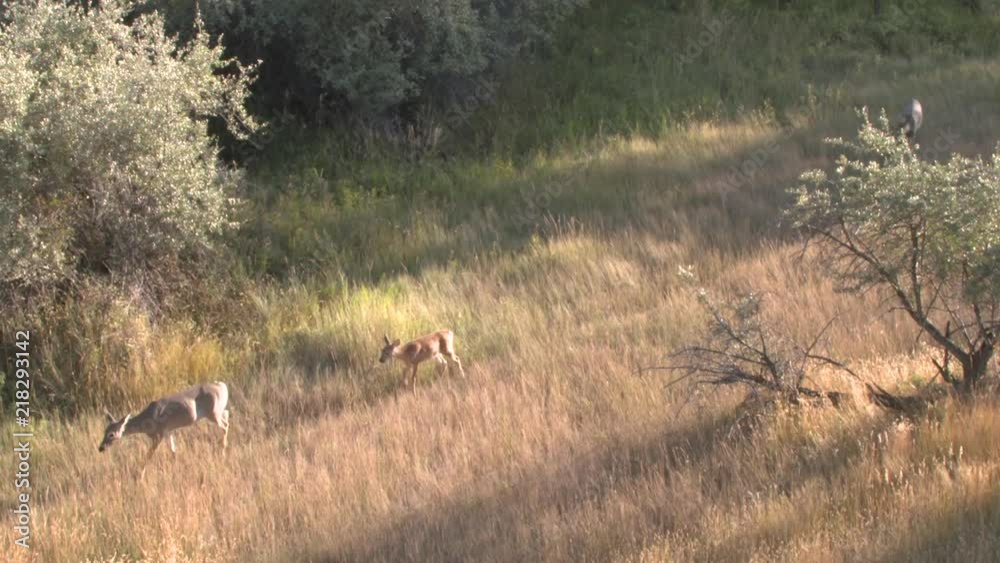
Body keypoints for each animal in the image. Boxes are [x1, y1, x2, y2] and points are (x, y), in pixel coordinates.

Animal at [98, 381, 230, 476]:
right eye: (105, 431)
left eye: (111, 434)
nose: (101, 448)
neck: (146, 420)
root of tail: (222, 386)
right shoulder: (168, 431)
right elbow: (173, 451)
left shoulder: (159, 434)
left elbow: (149, 455)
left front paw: (139, 474)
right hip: (217, 411)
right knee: (227, 415)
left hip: (213, 412)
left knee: (225, 425)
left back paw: (222, 453)